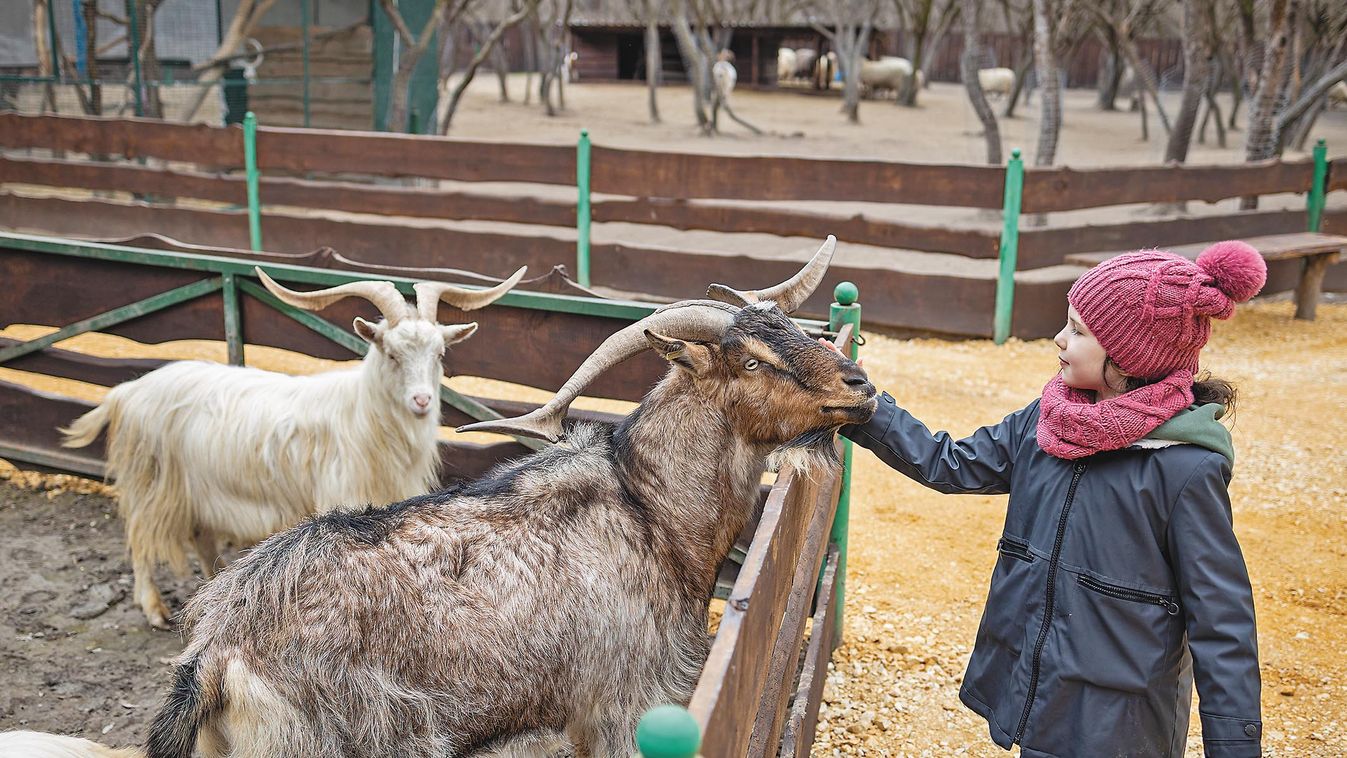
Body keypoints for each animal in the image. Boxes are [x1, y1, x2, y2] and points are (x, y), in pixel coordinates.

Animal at [63, 266, 525, 630]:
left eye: (440, 353)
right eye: (391, 353)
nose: (422, 401)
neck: (362, 417)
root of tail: (127, 391)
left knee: (201, 538)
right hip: (152, 482)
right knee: (140, 539)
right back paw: (155, 610)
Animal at [147, 236, 878, 758]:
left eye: (797, 331)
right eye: (752, 359)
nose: (860, 386)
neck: (654, 513)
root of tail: (216, 654)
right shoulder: (620, 704)